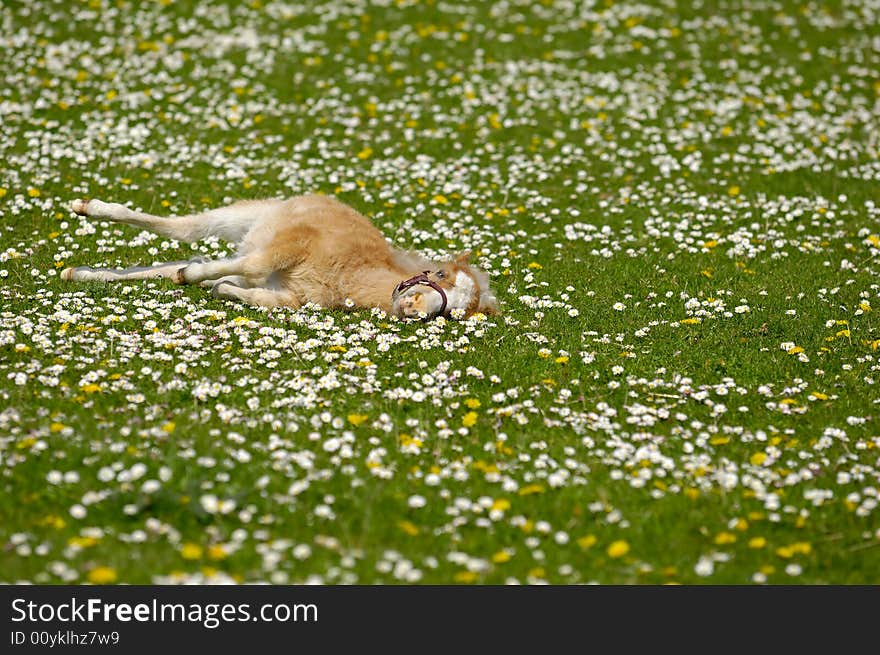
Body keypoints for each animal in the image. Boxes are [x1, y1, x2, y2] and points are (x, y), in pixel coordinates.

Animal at [61, 193, 498, 320]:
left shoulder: (289, 296)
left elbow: (256, 293)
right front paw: (198, 277)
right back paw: (87, 208)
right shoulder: (291, 245)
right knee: (184, 229)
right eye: (438, 273)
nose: (413, 306)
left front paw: (219, 287)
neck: (346, 275)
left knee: (165, 266)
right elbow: (252, 266)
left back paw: (78, 274)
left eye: (452, 312)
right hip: (249, 218)